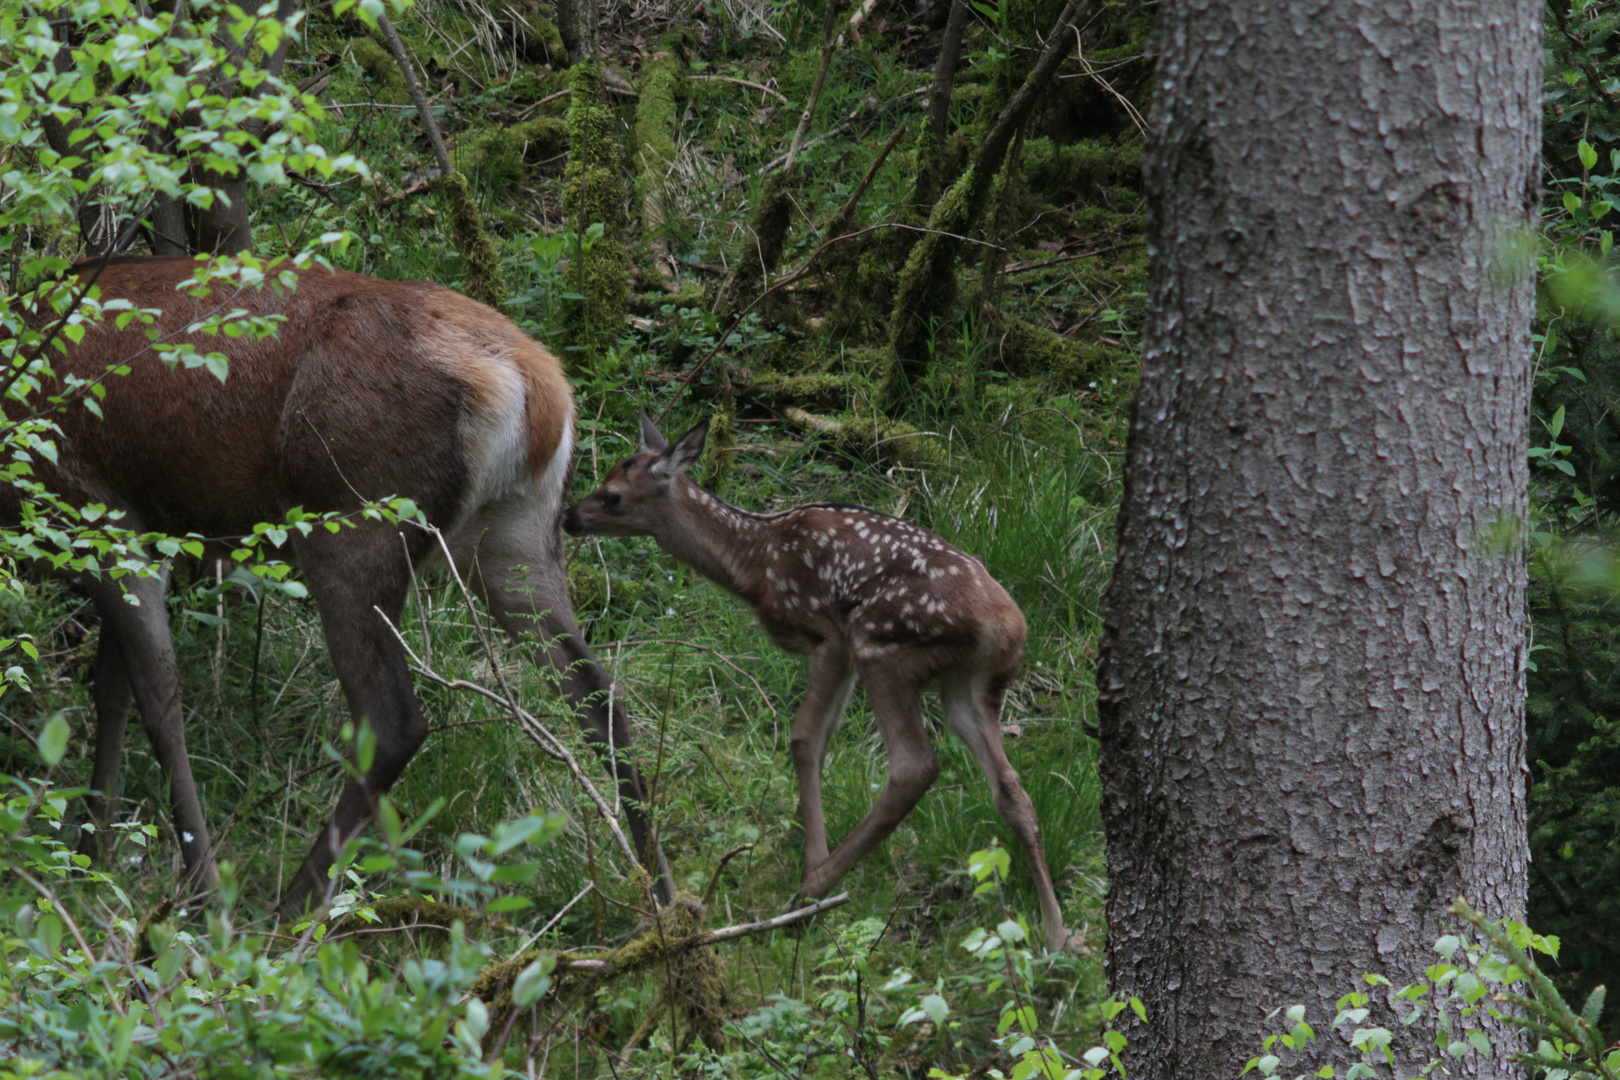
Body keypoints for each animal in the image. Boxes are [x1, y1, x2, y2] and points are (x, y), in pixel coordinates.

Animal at [1, 257, 670, 906]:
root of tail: (535, 385)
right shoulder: (138, 530)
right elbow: (112, 691)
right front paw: (92, 856)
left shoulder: (93, 510)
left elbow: (159, 703)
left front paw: (197, 891)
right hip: (517, 540)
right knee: (601, 698)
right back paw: (661, 900)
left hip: (353, 522)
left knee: (393, 720)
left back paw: (287, 906)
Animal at [560, 409, 1075, 952]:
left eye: (613, 494)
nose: (569, 517)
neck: (755, 562)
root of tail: (1006, 624)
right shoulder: (841, 655)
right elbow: (824, 740)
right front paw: (807, 840)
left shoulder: (829, 636)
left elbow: (805, 737)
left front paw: (812, 862)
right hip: (969, 686)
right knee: (1010, 786)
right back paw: (1057, 931)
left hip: (884, 647)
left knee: (914, 766)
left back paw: (810, 895)